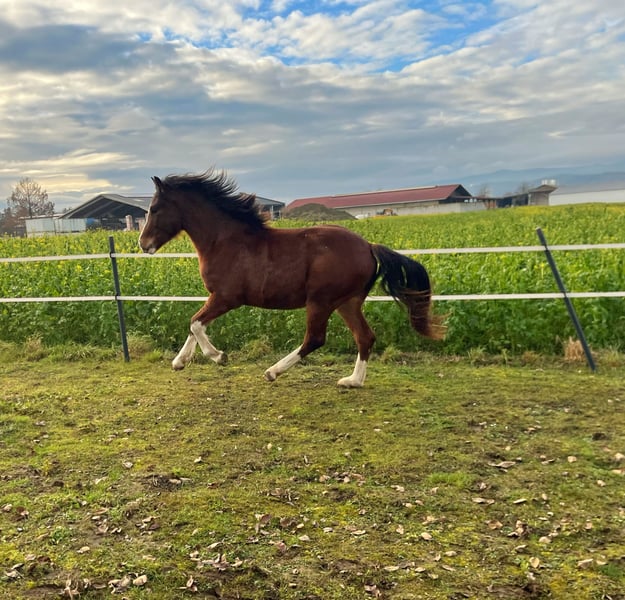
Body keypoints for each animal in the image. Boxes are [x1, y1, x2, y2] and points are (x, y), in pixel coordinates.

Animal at [138, 169, 443, 387]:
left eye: (154, 209)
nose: (143, 244)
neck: (225, 241)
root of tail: (369, 246)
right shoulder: (218, 297)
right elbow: (195, 324)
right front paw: (179, 362)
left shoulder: (227, 297)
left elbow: (195, 323)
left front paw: (218, 357)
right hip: (347, 302)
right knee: (365, 337)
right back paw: (352, 381)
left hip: (321, 301)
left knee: (316, 338)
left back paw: (273, 372)